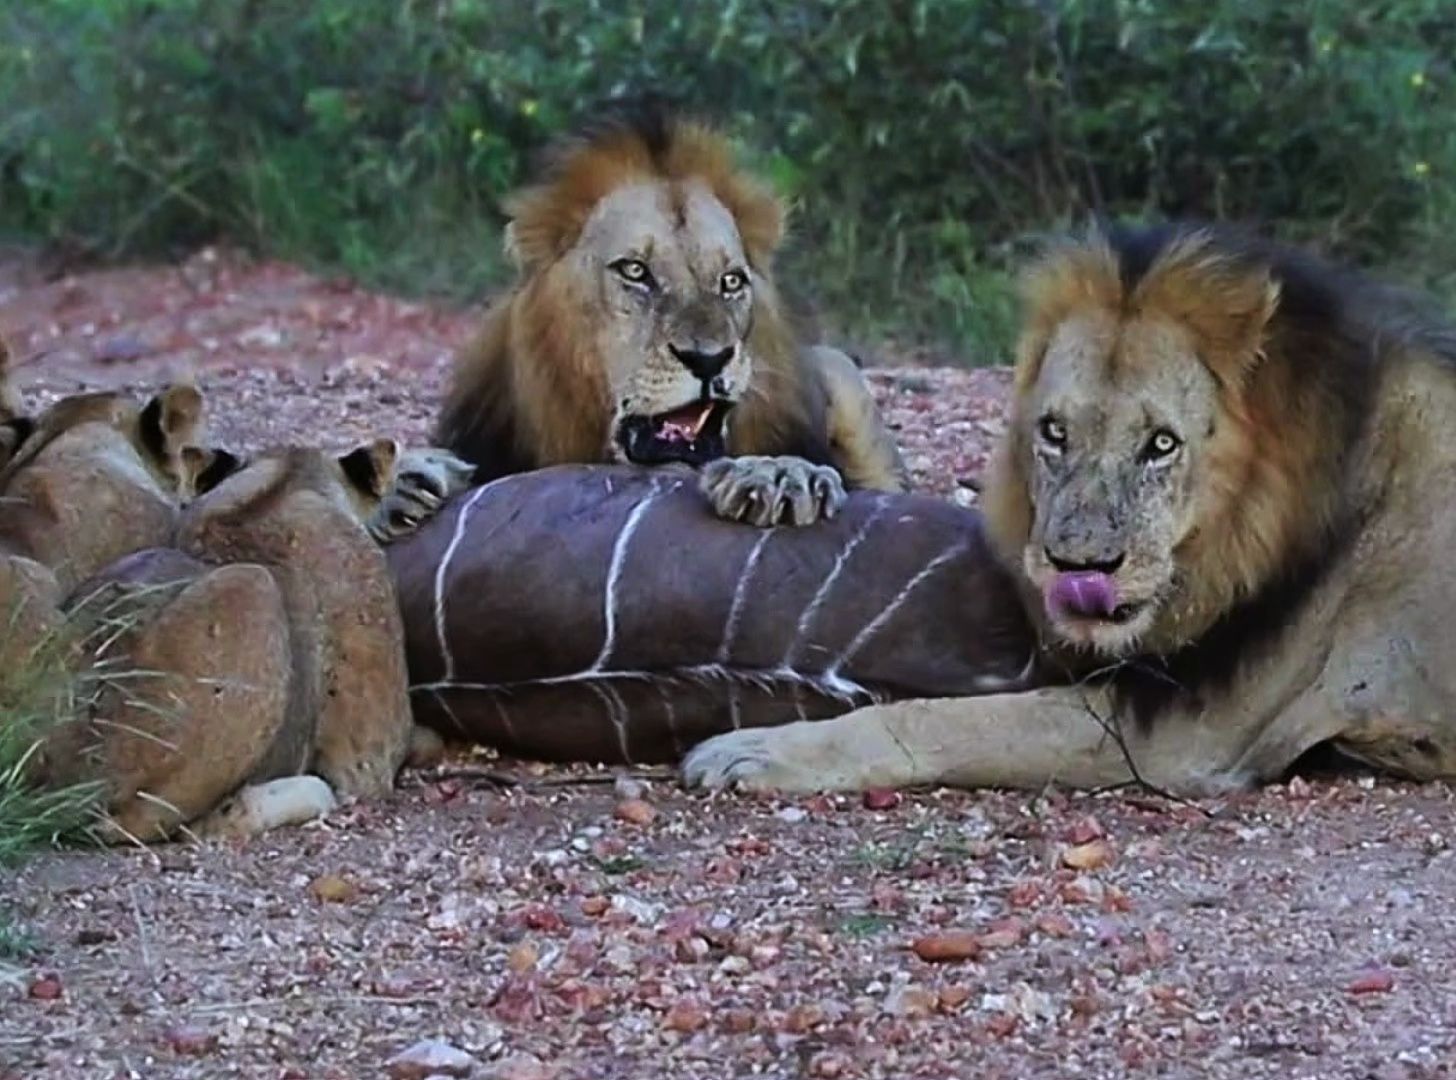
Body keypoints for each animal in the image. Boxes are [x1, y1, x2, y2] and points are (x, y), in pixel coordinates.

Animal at [681, 222, 1456, 797]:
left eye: (1161, 444)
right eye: (1054, 432)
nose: (1078, 567)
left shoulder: (1185, 734)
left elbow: (947, 722)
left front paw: (756, 751)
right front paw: (776, 475)